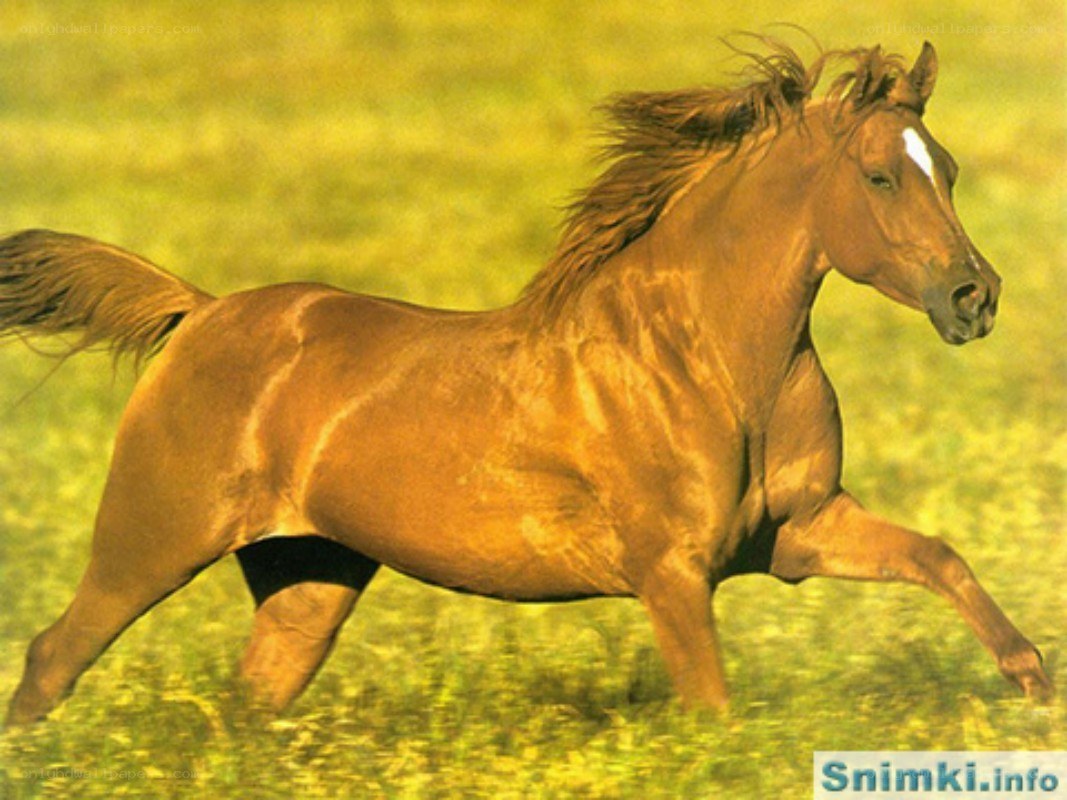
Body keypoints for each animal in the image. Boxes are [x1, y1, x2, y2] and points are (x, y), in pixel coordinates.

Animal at [1, 38, 1053, 726]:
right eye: (878, 176)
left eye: (947, 168)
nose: (975, 296)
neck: (707, 361)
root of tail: (200, 311)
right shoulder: (671, 572)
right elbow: (713, 708)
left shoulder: (794, 533)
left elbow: (937, 556)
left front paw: (1032, 681)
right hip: (154, 538)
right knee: (53, 656)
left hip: (309, 576)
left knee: (251, 701)